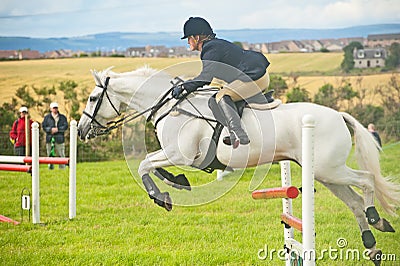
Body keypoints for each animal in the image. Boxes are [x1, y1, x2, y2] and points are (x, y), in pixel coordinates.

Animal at [79, 67, 400, 264]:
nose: (82, 130)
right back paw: (373, 243)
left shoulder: (181, 154)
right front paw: (177, 182)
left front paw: (162, 197)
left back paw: (375, 218)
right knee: (354, 202)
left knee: (367, 180)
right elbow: (152, 166)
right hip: (325, 174)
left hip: (328, 170)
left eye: (93, 98)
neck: (170, 107)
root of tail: (338, 115)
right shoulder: (173, 154)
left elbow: (145, 165)